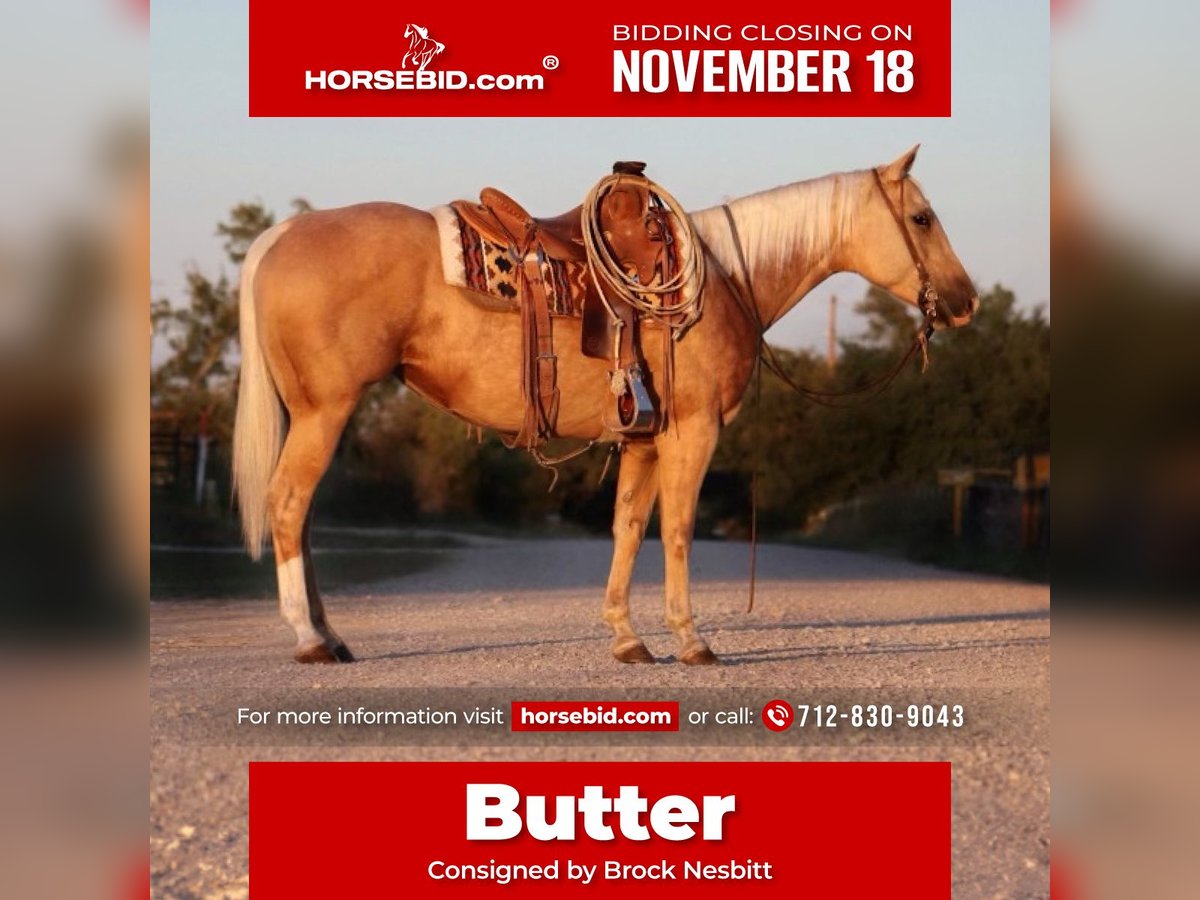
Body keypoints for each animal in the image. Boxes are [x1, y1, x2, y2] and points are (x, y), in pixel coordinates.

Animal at [231, 148, 974, 667]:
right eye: (921, 217)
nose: (966, 302)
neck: (725, 279)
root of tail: (279, 236)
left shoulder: (643, 438)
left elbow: (627, 530)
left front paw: (627, 638)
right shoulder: (693, 433)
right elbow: (677, 531)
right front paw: (692, 641)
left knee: (303, 514)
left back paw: (330, 633)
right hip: (325, 411)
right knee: (289, 504)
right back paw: (311, 638)